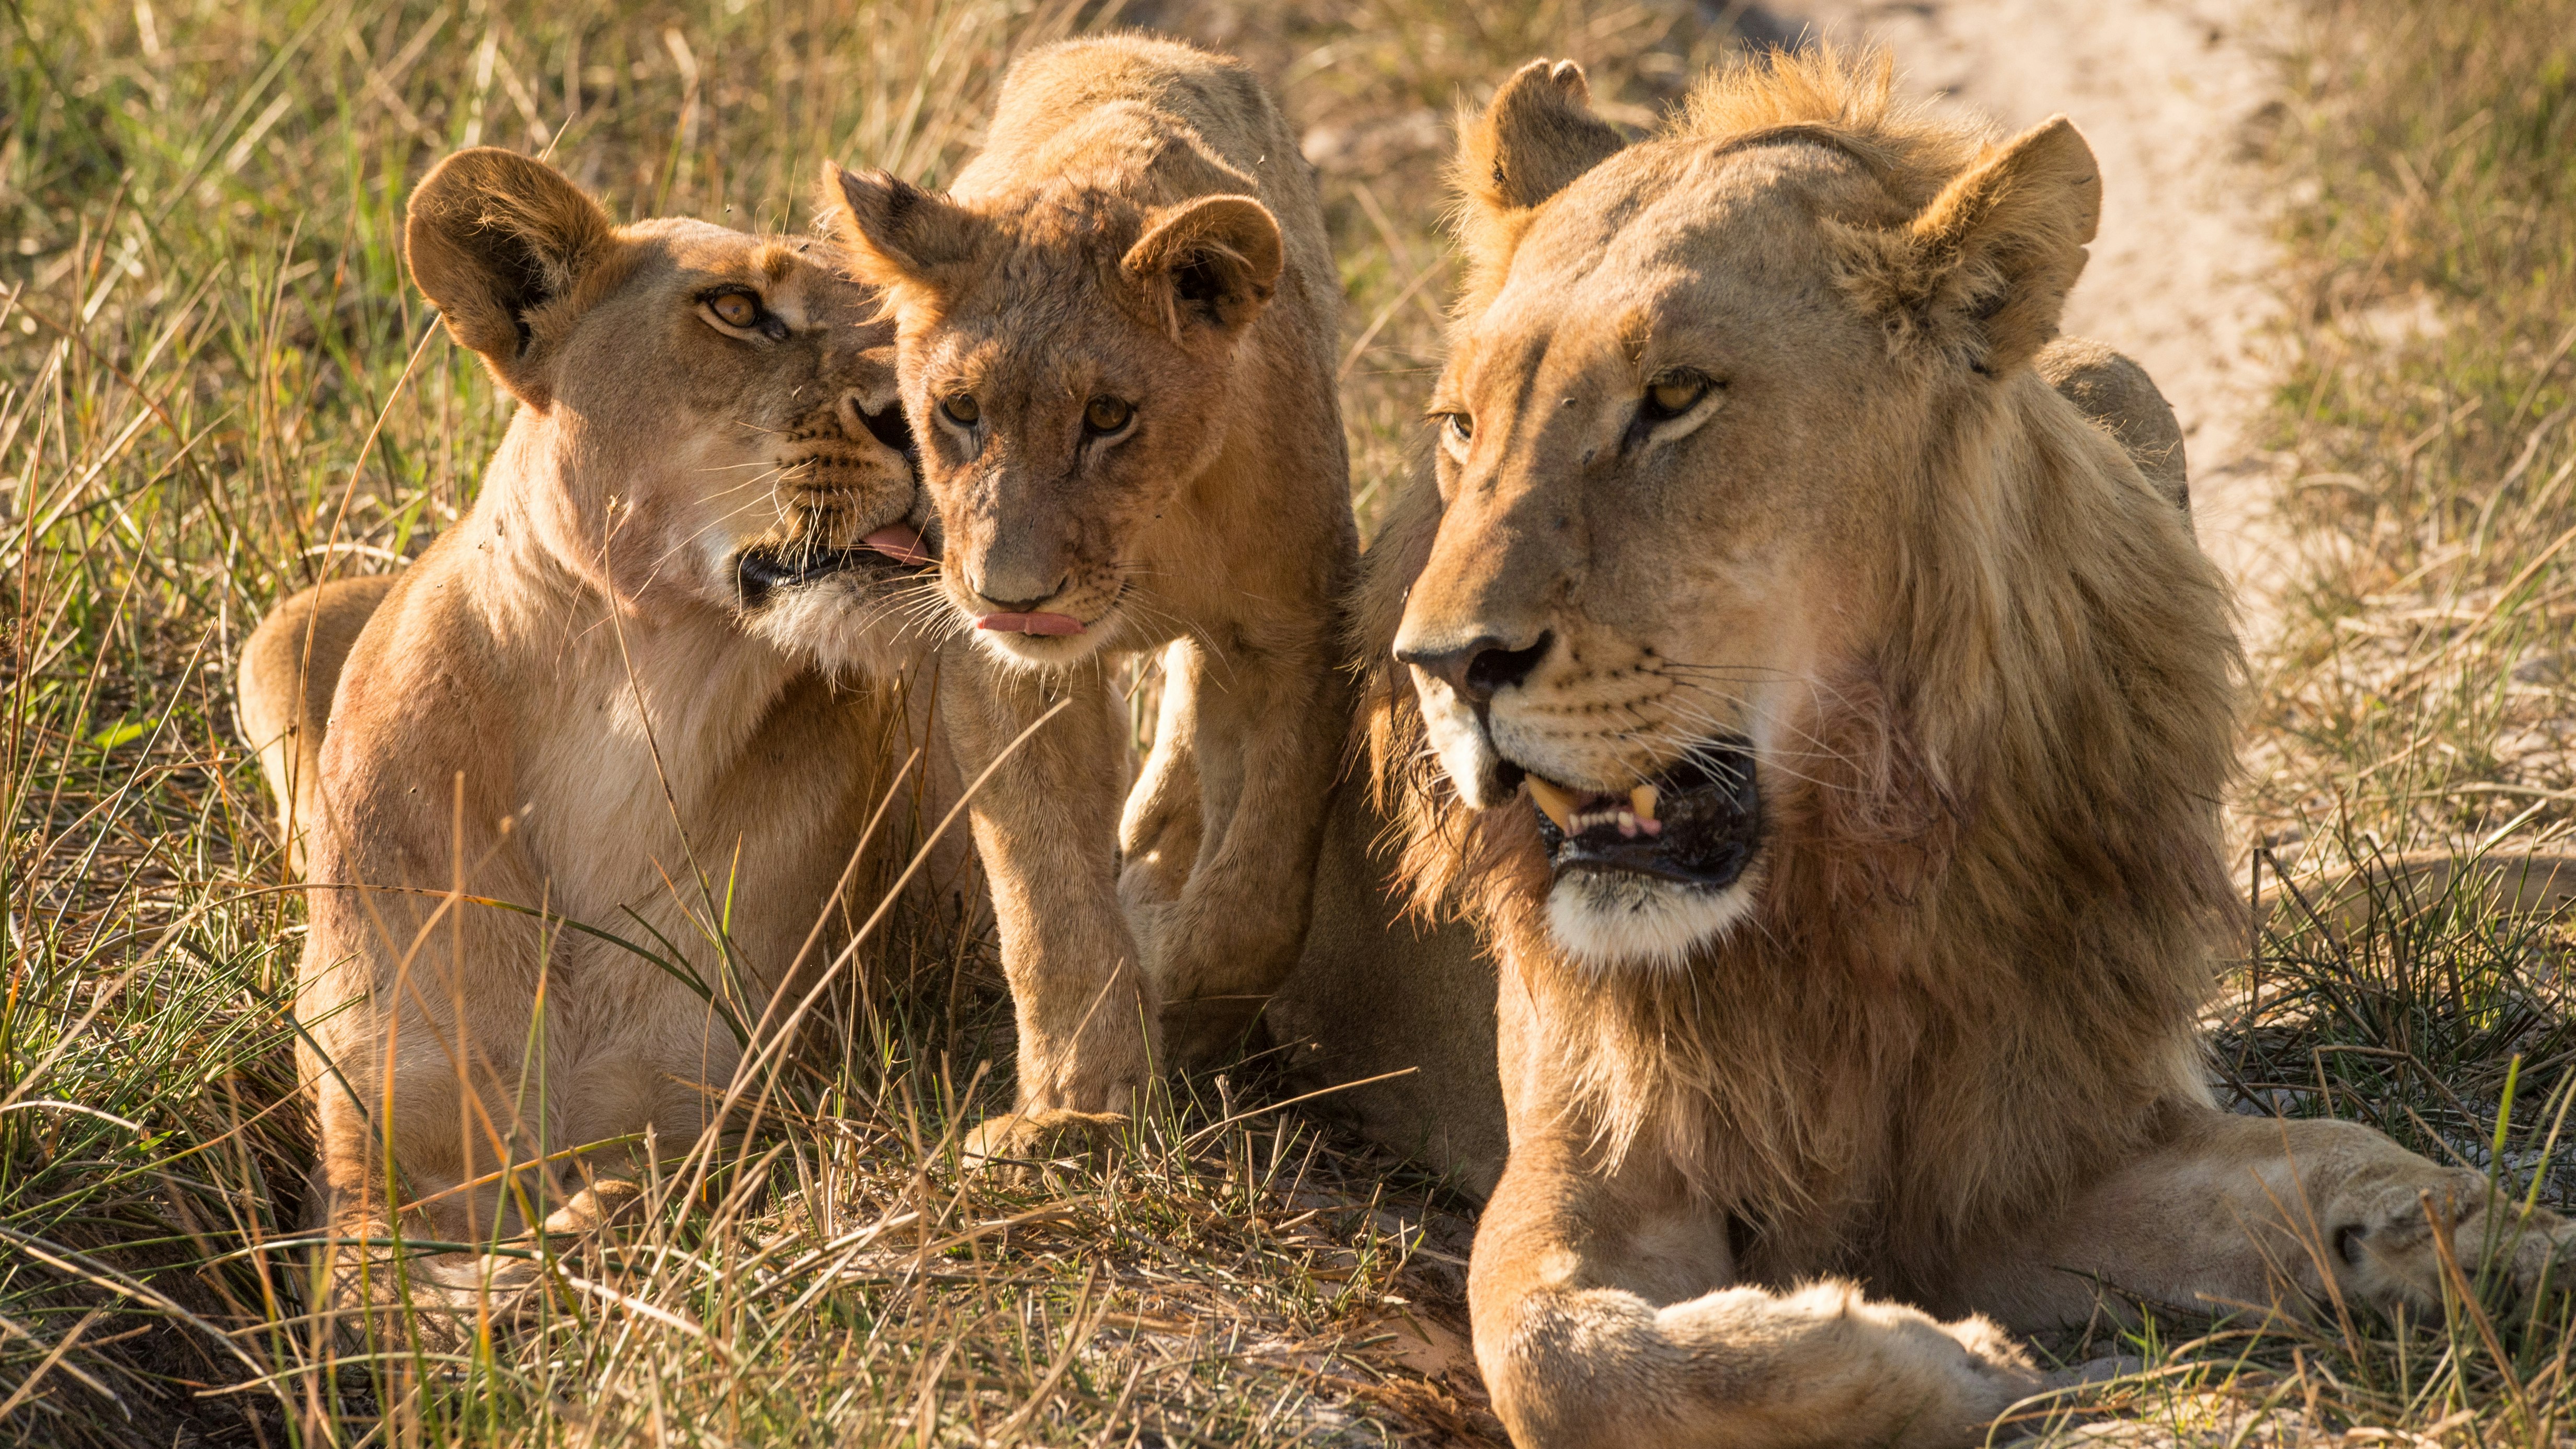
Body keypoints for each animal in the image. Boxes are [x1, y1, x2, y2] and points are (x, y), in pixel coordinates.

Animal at [239, 143, 968, 1320]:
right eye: (736, 309)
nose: (936, 415)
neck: (632, 714)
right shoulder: (370, 1139)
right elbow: (359, 1268)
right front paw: (450, 1297)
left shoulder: (734, 1110)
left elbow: (630, 1198)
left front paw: (535, 1263)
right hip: (282, 632)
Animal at [824, 33, 1360, 1119]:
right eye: (959, 410)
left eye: (1108, 416)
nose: (1011, 593)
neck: (1154, 535)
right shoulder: (1003, 669)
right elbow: (1047, 898)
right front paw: (1081, 1106)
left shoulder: (1296, 635)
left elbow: (1262, 887)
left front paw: (1183, 1001)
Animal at [1339, 51, 2566, 1433]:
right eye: (1460, 426)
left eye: (1674, 398)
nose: (1443, 667)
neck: (1846, 866)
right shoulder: (1583, 1161)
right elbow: (1566, 1357)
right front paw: (1947, 1361)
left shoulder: (2029, 1148)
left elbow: (2264, 1170)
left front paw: (2459, 1232)